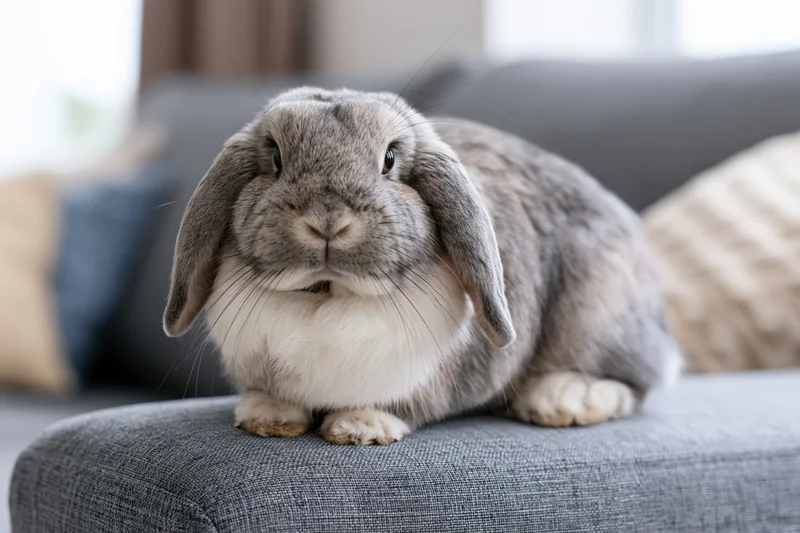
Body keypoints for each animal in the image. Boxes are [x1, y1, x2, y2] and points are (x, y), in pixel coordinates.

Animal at [163, 87, 683, 445]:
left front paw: (360, 428)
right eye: (274, 157)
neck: (327, 296)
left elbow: (397, 405)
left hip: (597, 315)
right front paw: (267, 418)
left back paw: (563, 399)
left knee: (637, 380)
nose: (328, 220)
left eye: (390, 159)